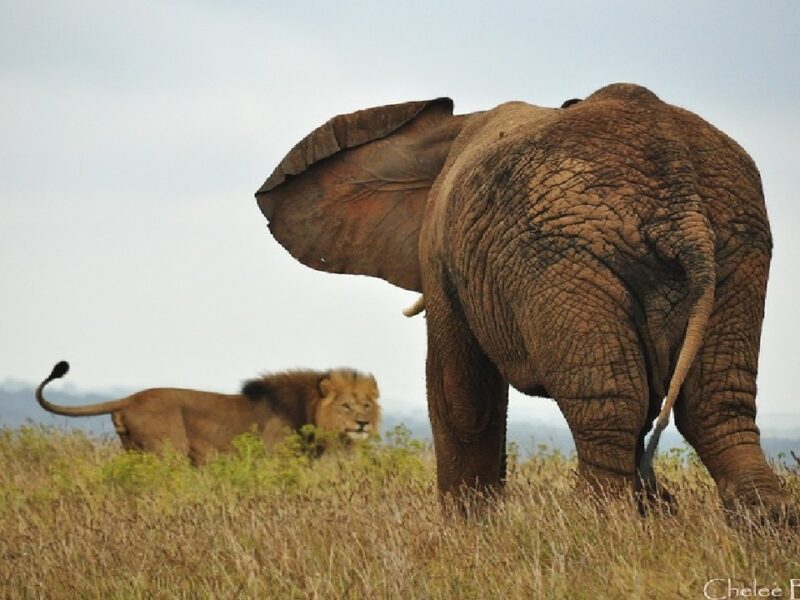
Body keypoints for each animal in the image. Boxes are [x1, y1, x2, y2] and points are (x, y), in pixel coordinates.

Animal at [34, 360, 378, 464]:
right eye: (346, 406)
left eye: (366, 405)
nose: (363, 423)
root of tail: (129, 399)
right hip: (167, 452)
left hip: (133, 450)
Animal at [256, 82, 792, 524]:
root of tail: (681, 205)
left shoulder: (441, 250)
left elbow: (460, 392)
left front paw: (469, 532)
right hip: (739, 244)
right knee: (716, 400)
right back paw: (762, 523)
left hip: (564, 259)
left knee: (610, 401)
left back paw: (600, 526)